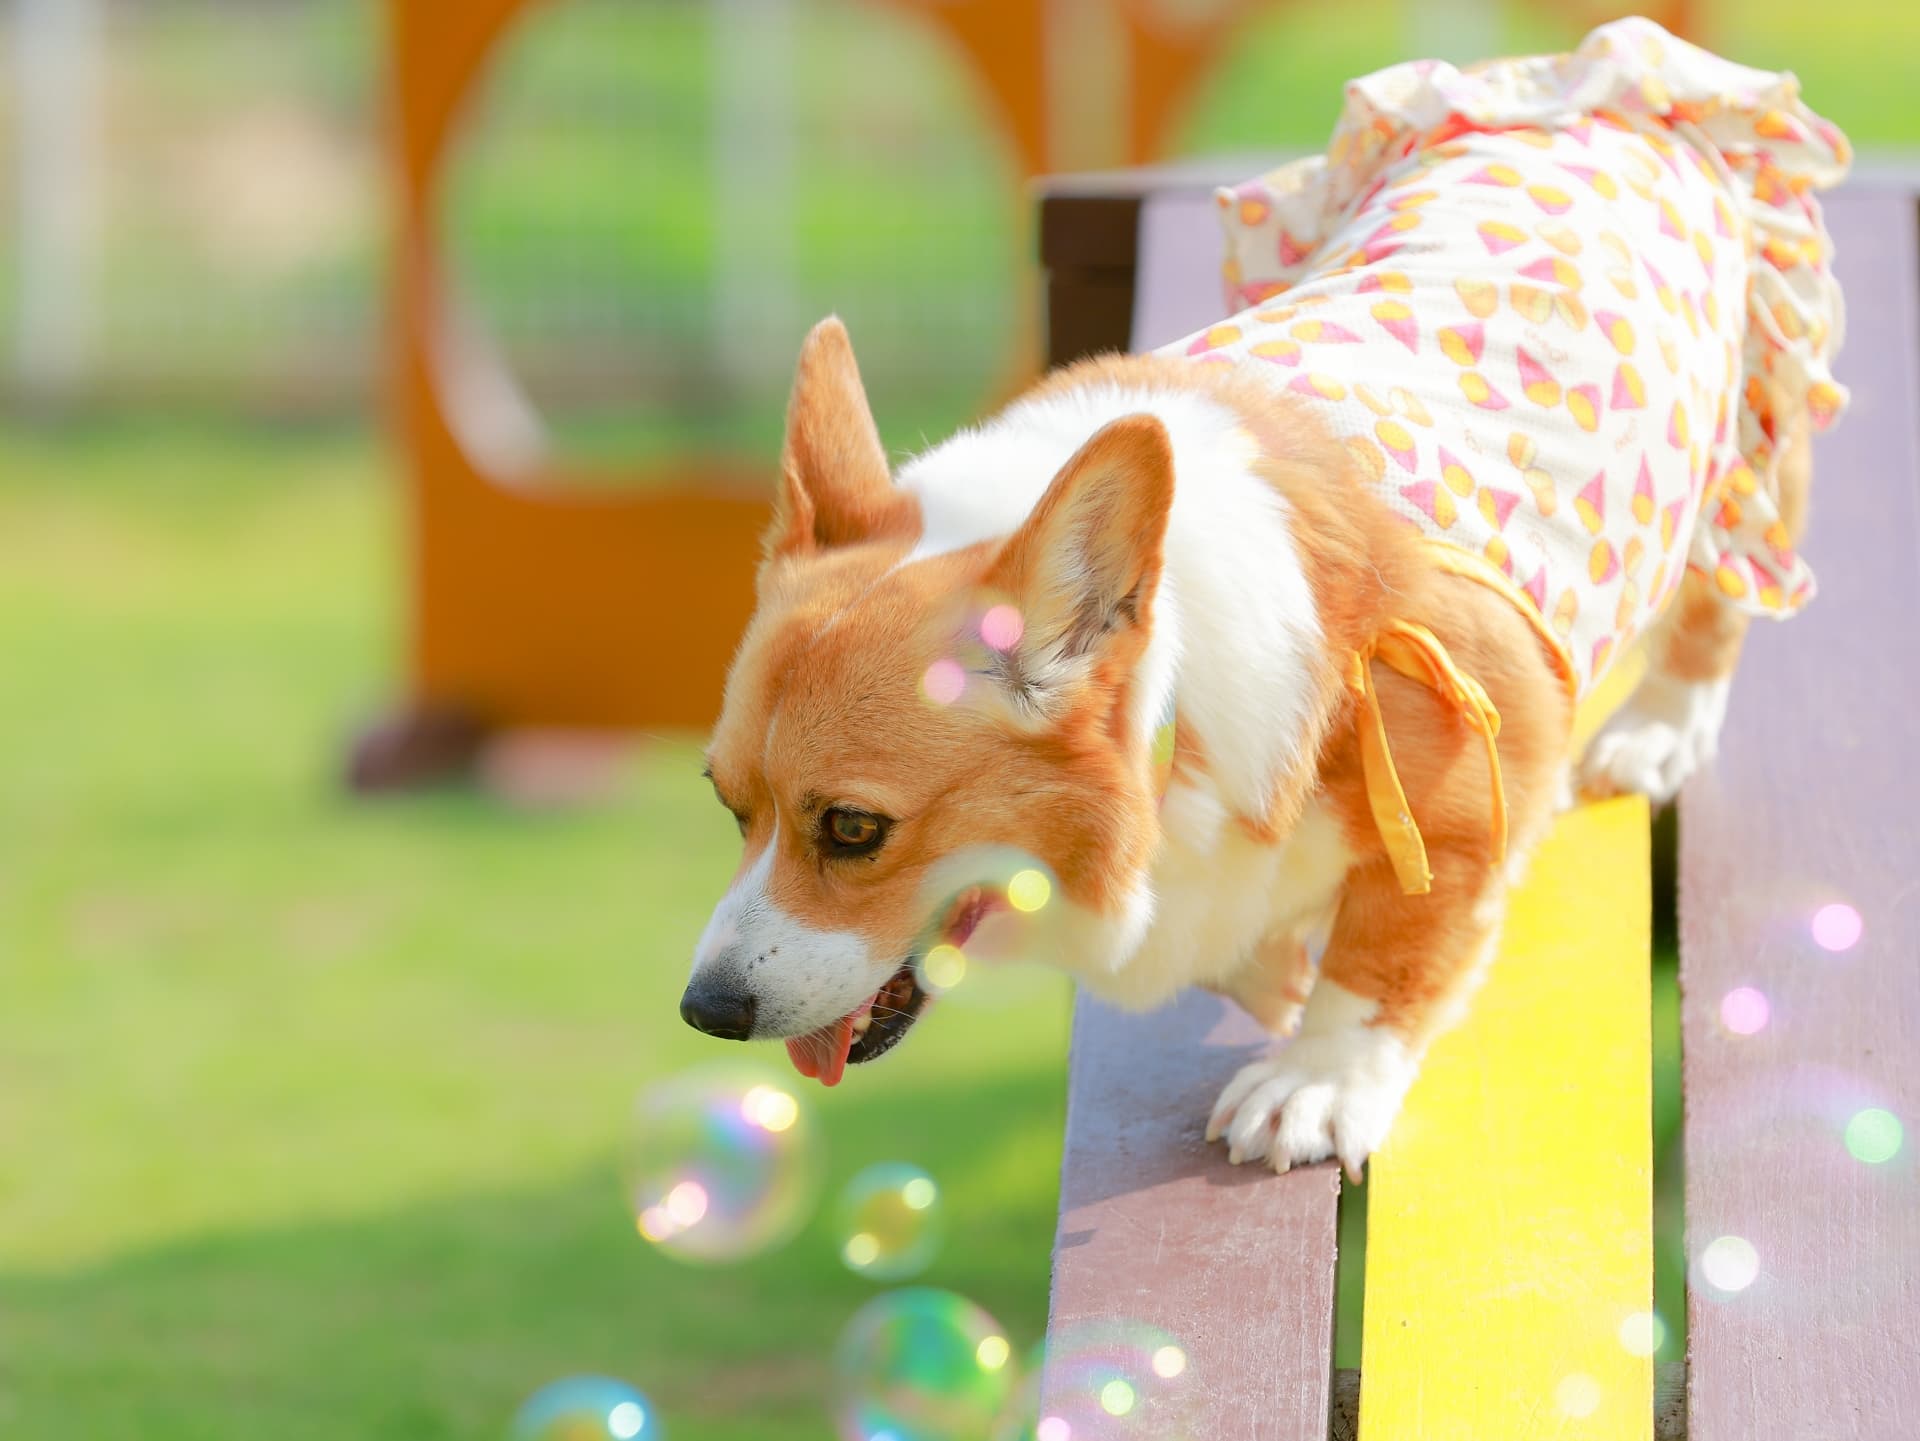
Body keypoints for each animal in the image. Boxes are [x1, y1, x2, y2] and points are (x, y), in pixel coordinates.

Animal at [675, 16, 1843, 1174]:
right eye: (728, 804)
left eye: (853, 828)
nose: (705, 1013)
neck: (1178, 677)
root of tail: (1603, 82)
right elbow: (1233, 940)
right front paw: (1273, 972)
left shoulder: (1479, 784)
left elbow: (1390, 952)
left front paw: (1316, 1082)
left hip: (1746, 447)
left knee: (1718, 604)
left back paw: (1658, 729)